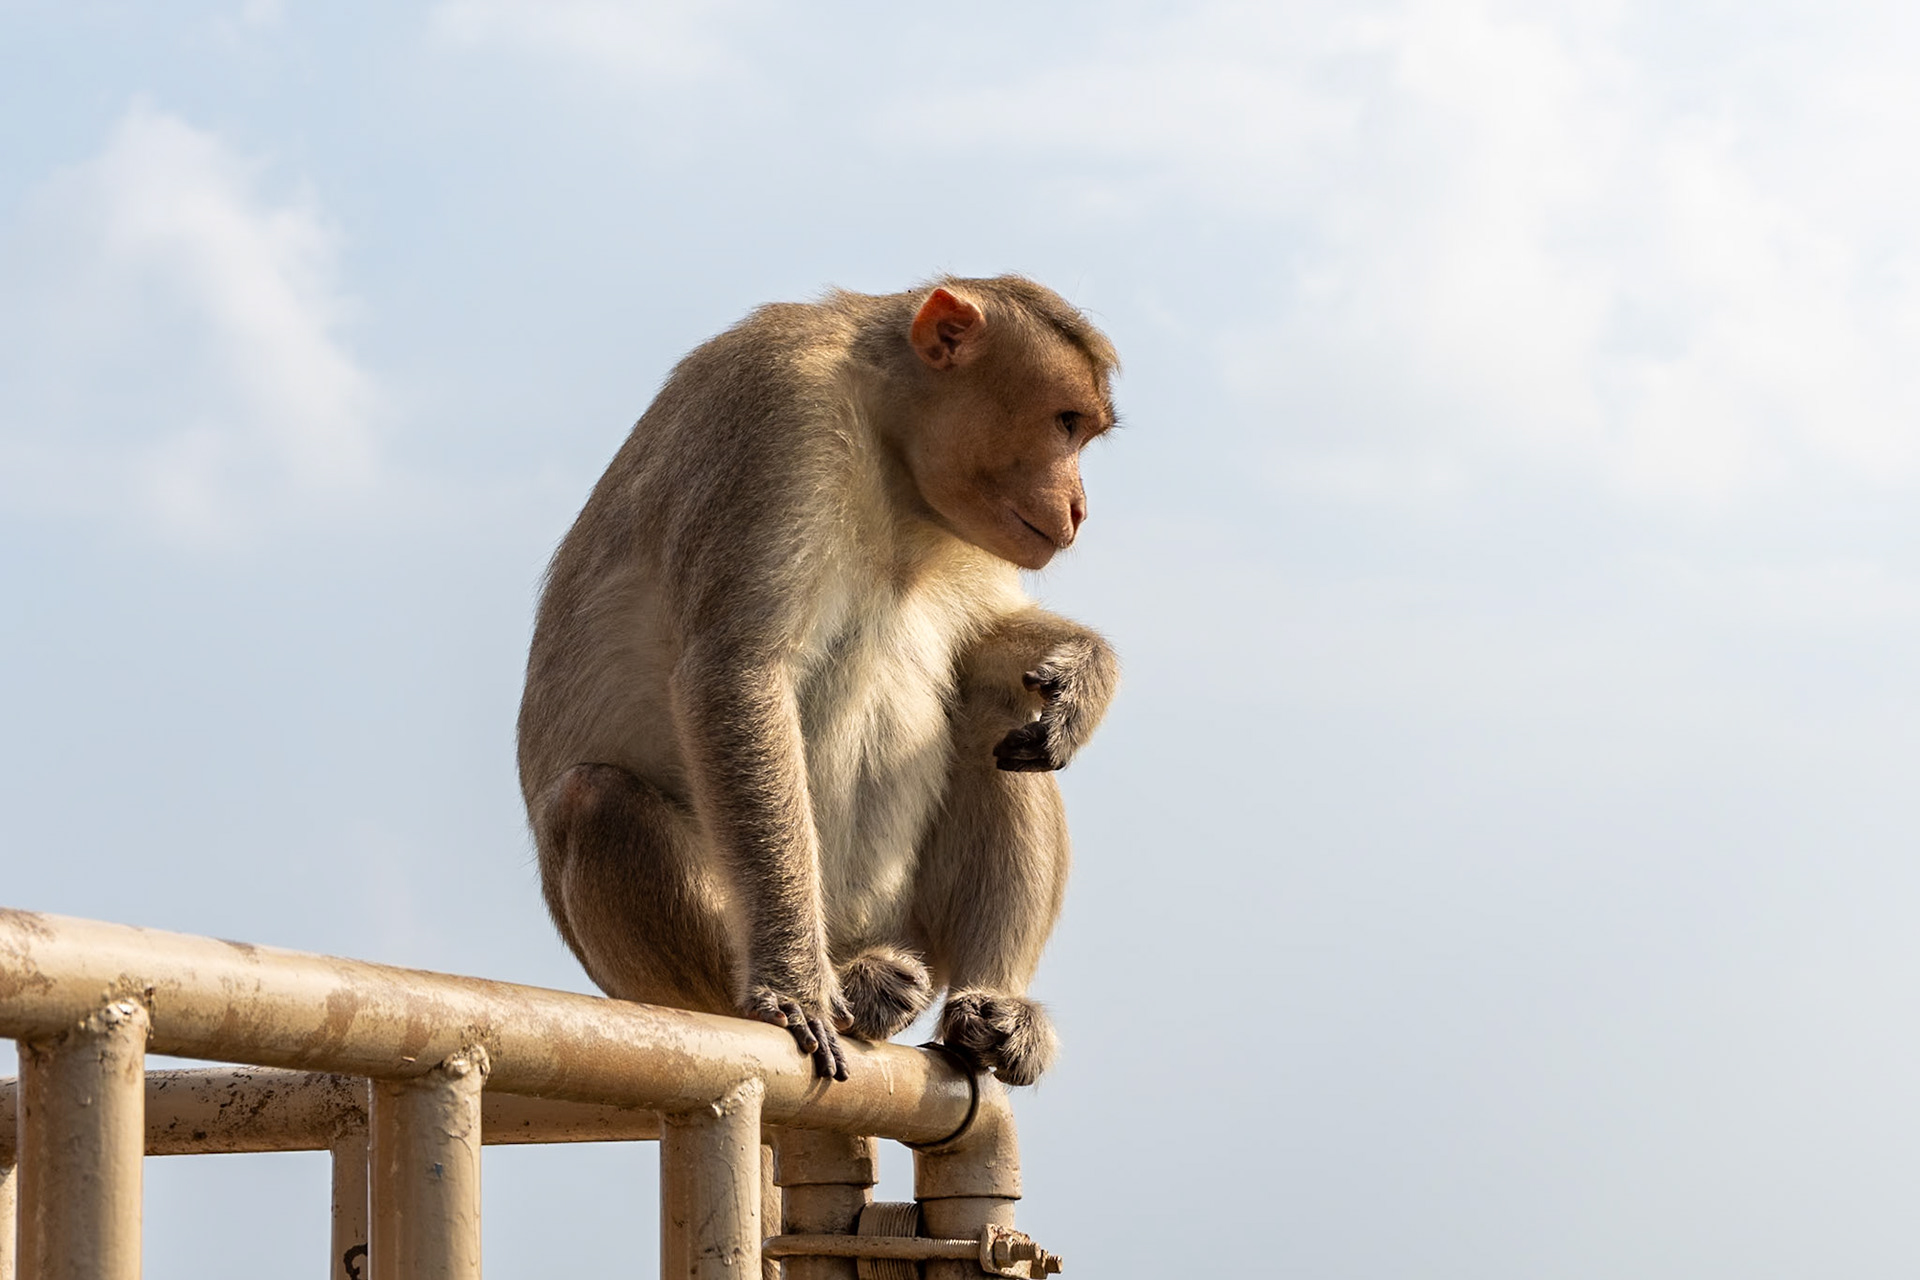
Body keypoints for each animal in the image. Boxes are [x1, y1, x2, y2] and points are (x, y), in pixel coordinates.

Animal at [517, 276, 1120, 1084]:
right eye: (1065, 422)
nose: (1079, 507)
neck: (891, 447)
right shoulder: (780, 414)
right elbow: (738, 671)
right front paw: (791, 984)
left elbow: (983, 648)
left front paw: (1085, 672)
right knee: (594, 799)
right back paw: (848, 989)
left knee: (996, 714)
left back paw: (992, 1009)